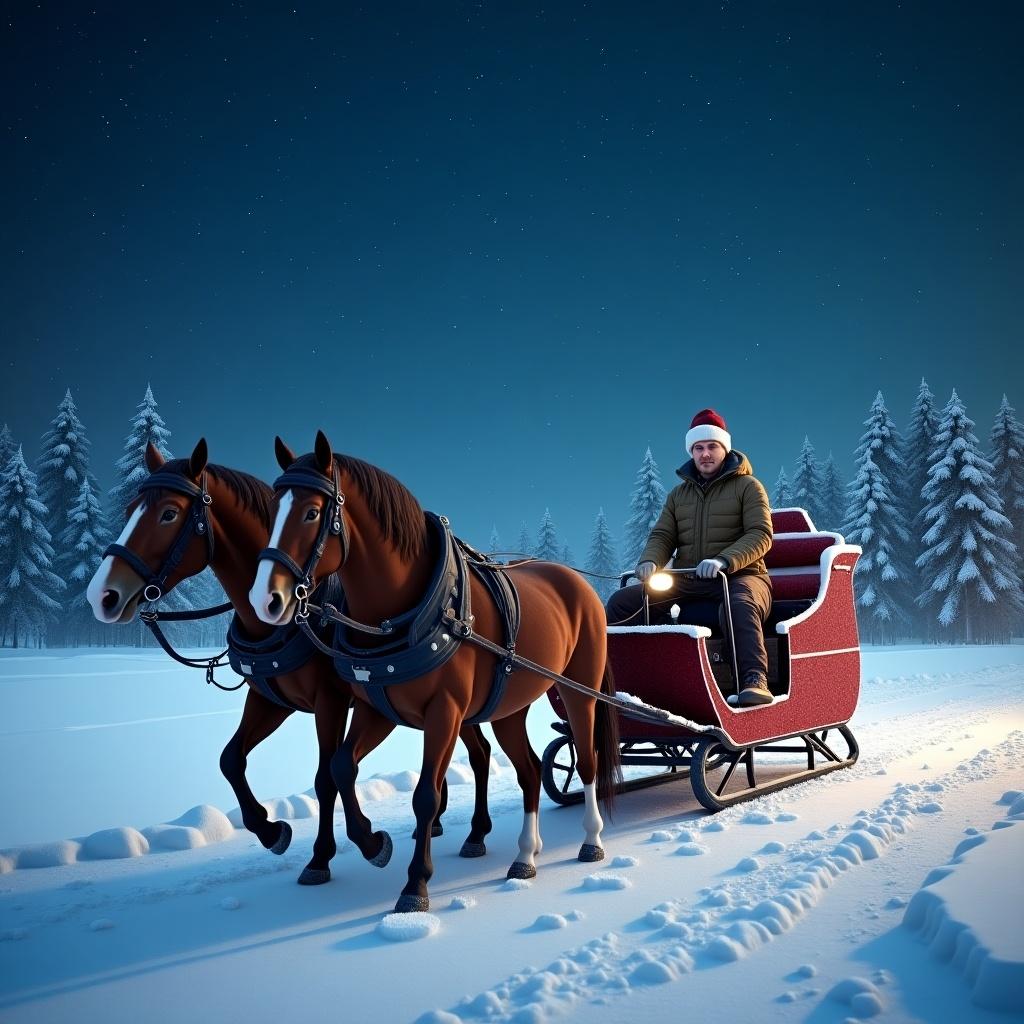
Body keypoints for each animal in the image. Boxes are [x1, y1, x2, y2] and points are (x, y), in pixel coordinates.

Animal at [86, 436, 493, 884]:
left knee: (478, 753)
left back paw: (471, 832)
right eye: (129, 510)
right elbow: (231, 759)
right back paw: (442, 825)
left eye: (169, 513)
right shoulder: (270, 699)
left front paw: (333, 853)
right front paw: (271, 830)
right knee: (477, 750)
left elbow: (325, 776)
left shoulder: (330, 701)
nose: (102, 595)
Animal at [251, 432, 618, 913]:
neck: (404, 612)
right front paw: (373, 843)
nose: (266, 600)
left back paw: (591, 841)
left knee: (588, 759)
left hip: (580, 689)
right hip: (509, 706)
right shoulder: (376, 708)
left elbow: (426, 795)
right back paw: (525, 855)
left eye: (312, 512)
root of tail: (580, 585)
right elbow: (341, 767)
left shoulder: (444, 711)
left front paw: (415, 885)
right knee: (529, 770)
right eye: (272, 509)